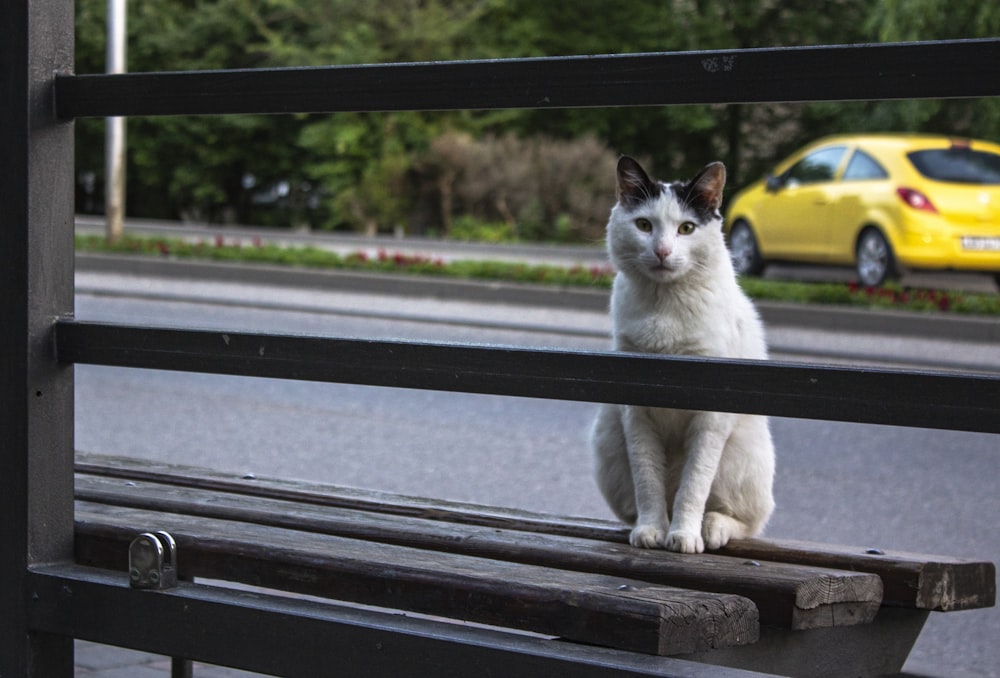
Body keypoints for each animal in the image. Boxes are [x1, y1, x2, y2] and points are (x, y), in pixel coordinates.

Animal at [588, 157, 776, 556]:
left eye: (686, 228)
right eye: (644, 225)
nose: (662, 251)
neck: (664, 306)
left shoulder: (710, 418)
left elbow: (694, 485)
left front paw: (685, 535)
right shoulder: (635, 413)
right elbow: (647, 480)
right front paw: (651, 530)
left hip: (741, 457)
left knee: (746, 520)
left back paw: (712, 527)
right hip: (609, 439)